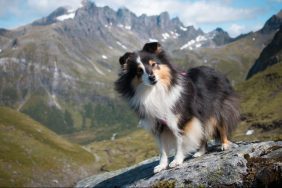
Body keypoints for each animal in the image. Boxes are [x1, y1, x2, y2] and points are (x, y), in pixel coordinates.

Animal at [114, 41, 240, 173]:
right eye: (139, 70)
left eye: (154, 64)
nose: (152, 77)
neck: (156, 91)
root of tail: (215, 71)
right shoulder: (158, 125)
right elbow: (162, 149)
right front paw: (161, 165)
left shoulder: (181, 121)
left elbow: (180, 142)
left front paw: (177, 160)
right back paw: (200, 152)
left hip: (217, 109)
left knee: (222, 126)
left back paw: (224, 144)